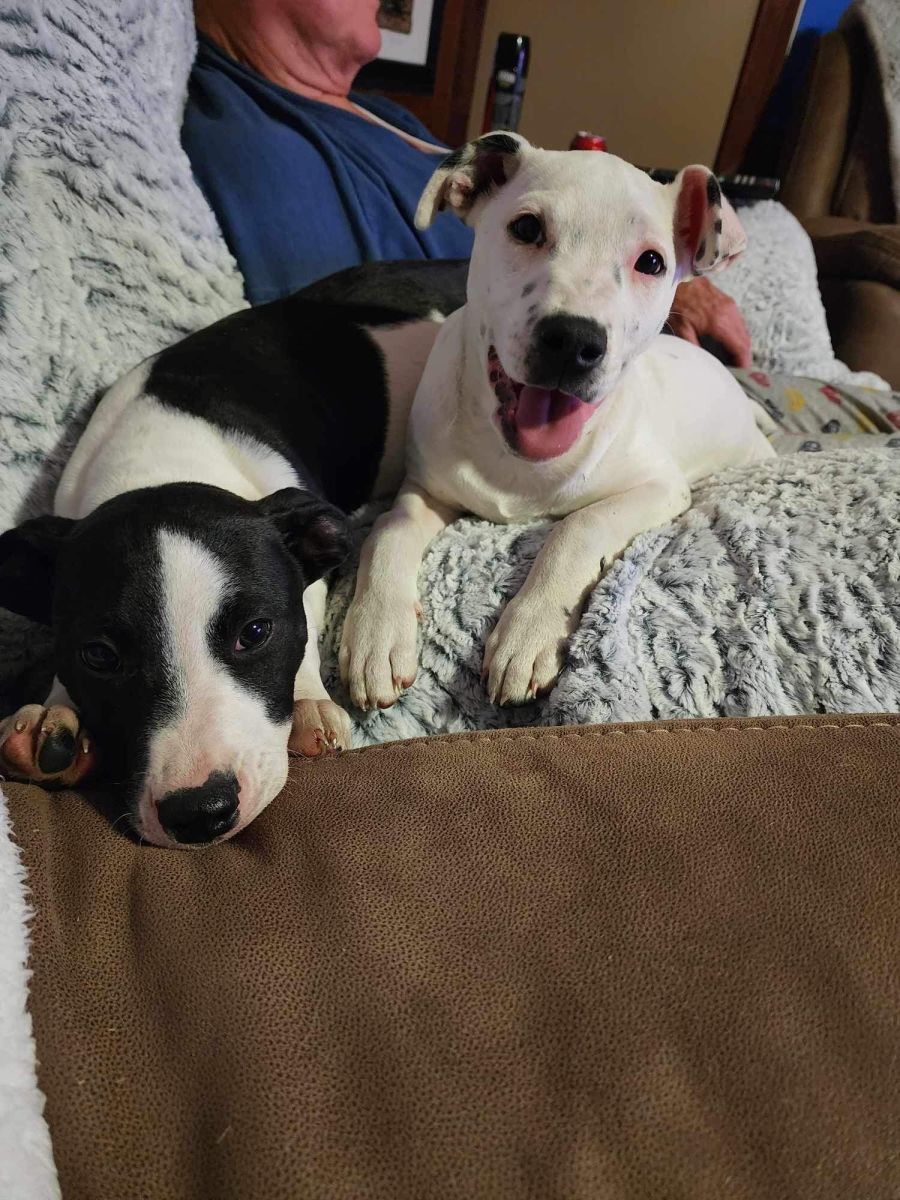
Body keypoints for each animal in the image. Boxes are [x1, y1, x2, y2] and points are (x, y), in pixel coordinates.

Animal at [0, 262, 468, 847]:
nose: (200, 813)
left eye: (256, 632)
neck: (162, 458)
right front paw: (57, 712)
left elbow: (306, 620)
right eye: (99, 656)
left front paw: (308, 702)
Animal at [339, 133, 775, 711]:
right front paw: (376, 631)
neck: (518, 463)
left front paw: (530, 630)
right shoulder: (423, 487)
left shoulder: (658, 487)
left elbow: (577, 526)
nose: (573, 341)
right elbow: (389, 530)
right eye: (526, 228)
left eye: (652, 262)